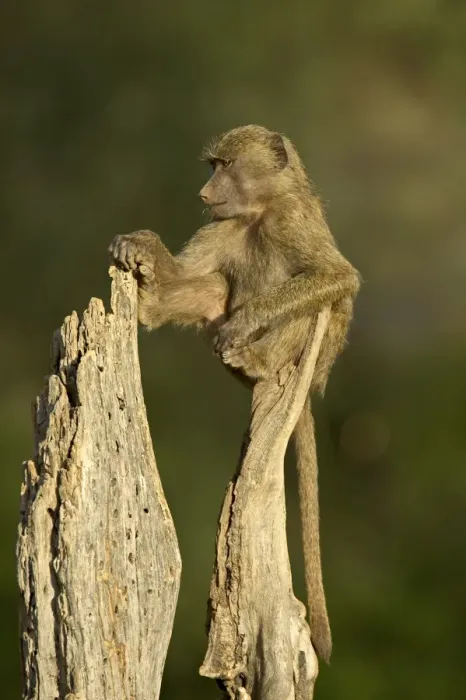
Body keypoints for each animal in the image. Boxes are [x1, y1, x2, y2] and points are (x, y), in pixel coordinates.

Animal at [108, 125, 360, 664]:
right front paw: (142, 245)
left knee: (316, 304)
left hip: (312, 357)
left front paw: (243, 324)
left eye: (225, 166)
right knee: (213, 286)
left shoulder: (291, 220)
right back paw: (152, 304)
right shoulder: (223, 225)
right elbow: (190, 273)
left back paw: (256, 357)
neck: (260, 211)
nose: (204, 195)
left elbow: (336, 277)